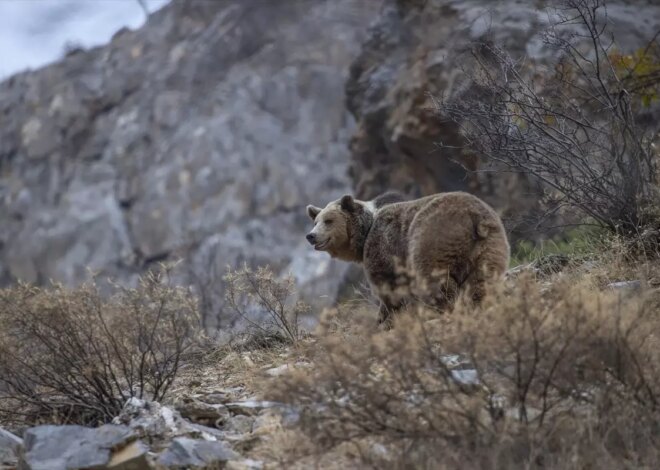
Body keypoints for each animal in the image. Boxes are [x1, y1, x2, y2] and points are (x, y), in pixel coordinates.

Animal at [306, 191, 510, 326]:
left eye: (329, 221)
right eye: (316, 221)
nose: (311, 236)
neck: (365, 233)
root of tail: (474, 217)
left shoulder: (384, 248)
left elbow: (389, 288)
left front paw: (385, 319)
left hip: (432, 238)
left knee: (437, 281)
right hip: (490, 246)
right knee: (482, 281)